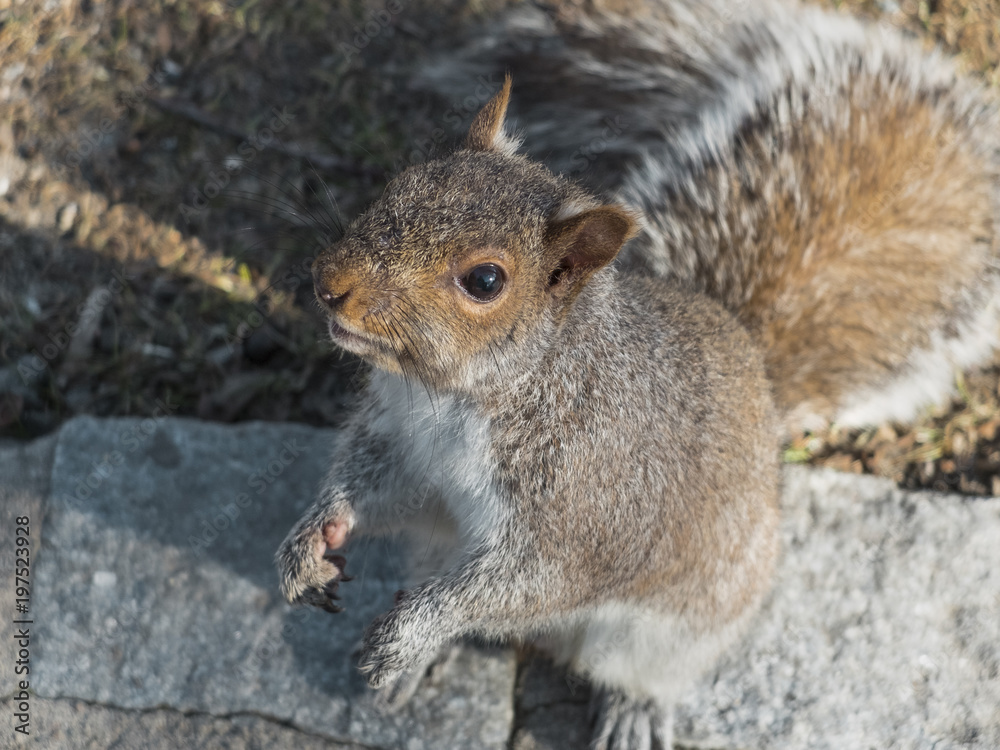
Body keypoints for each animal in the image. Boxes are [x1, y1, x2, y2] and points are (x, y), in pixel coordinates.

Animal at [276, 1, 999, 748]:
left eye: (485, 280)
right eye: (400, 185)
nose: (328, 283)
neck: (462, 396)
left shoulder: (587, 509)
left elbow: (522, 583)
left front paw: (407, 634)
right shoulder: (402, 445)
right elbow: (372, 487)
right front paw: (311, 541)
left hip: (673, 629)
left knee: (633, 669)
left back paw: (629, 711)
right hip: (434, 549)